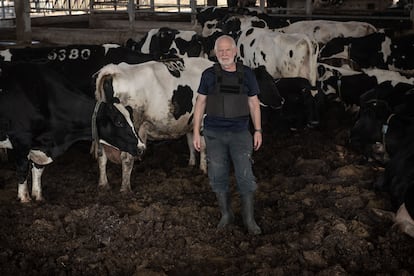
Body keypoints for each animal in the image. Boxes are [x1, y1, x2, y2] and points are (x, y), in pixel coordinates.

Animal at [0, 61, 146, 202]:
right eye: (119, 122)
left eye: (132, 119)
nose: (141, 147)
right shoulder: (21, 139)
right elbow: (23, 169)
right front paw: (24, 198)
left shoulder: (42, 145)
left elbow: (38, 169)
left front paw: (38, 196)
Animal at [94, 57, 284, 191]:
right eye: (267, 82)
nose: (282, 100)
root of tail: (115, 70)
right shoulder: (205, 120)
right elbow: (206, 145)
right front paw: (204, 169)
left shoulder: (190, 121)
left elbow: (192, 142)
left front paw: (192, 163)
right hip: (129, 130)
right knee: (126, 158)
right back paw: (126, 188)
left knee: (102, 156)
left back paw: (103, 184)